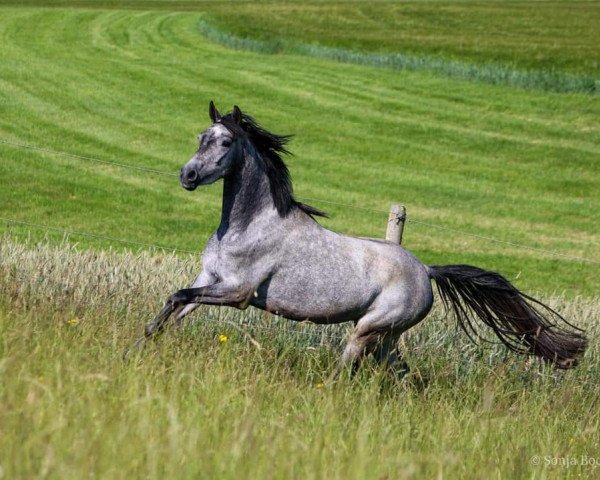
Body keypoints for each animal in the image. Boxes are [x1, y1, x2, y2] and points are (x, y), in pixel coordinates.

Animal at [142, 103, 584, 376]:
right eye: (200, 136)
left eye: (226, 141)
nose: (188, 176)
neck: (249, 225)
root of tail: (426, 270)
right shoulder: (208, 280)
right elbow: (173, 305)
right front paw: (139, 350)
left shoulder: (237, 292)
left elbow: (178, 297)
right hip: (386, 338)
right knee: (405, 375)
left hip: (368, 331)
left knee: (345, 370)